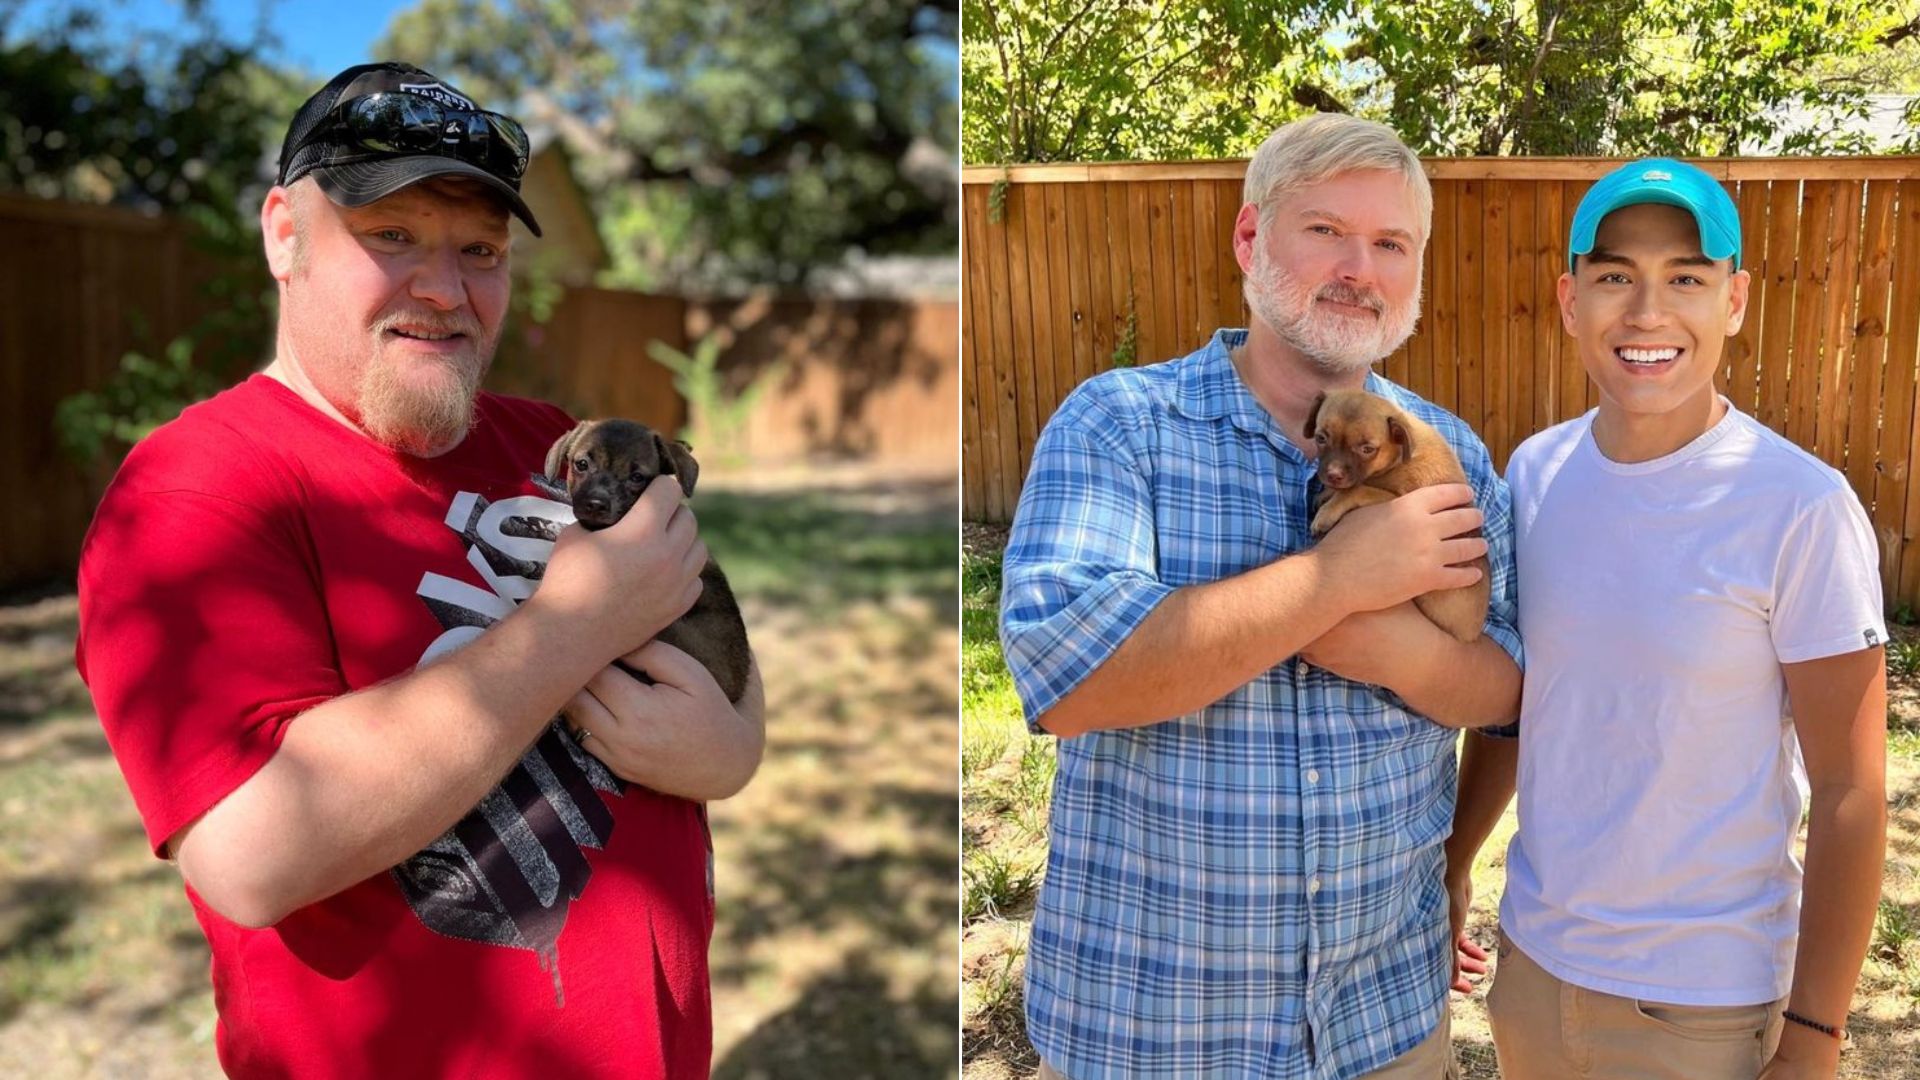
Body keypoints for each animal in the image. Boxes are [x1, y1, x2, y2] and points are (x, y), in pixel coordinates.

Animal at [1297, 386, 1489, 638]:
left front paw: (1327, 512)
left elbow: (1356, 489)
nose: (1333, 475)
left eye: (1367, 449)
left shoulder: (1396, 498)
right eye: (1321, 438)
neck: (1400, 454)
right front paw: (1327, 494)